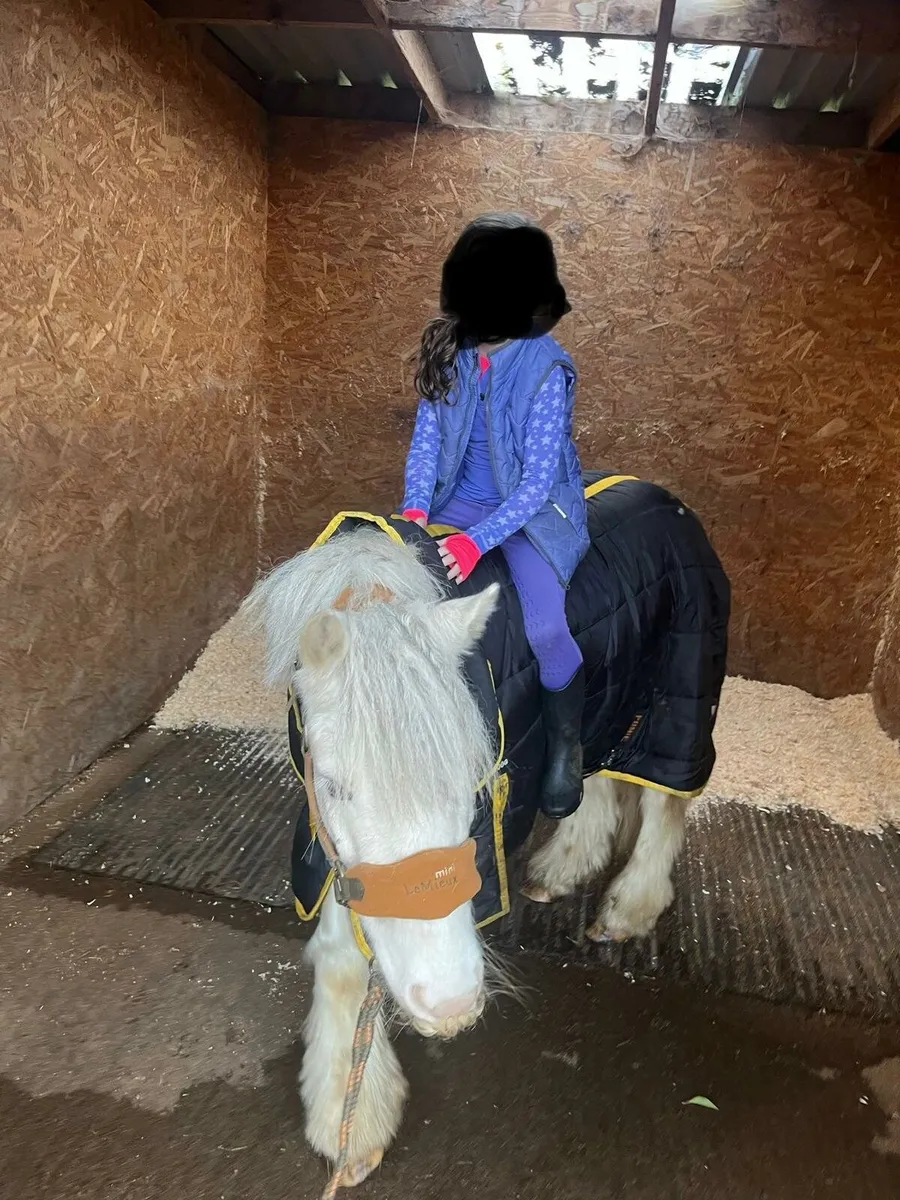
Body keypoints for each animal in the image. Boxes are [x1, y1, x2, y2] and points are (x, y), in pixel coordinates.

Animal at [244, 473, 730, 1186]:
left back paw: (627, 909)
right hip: (613, 703)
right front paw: (346, 1122)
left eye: (474, 780)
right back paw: (563, 868)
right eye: (333, 785)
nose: (449, 1005)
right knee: (595, 780)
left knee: (665, 804)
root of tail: (673, 503)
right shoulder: (330, 840)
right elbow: (341, 958)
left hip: (682, 698)